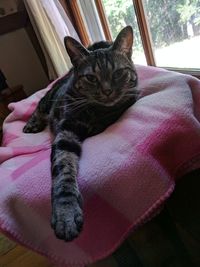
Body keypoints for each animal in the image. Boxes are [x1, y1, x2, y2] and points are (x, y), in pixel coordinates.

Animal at [23, 26, 138, 242]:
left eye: (118, 73)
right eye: (91, 78)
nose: (107, 91)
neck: (95, 111)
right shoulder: (66, 133)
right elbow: (64, 173)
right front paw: (66, 213)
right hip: (49, 99)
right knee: (39, 106)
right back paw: (31, 124)